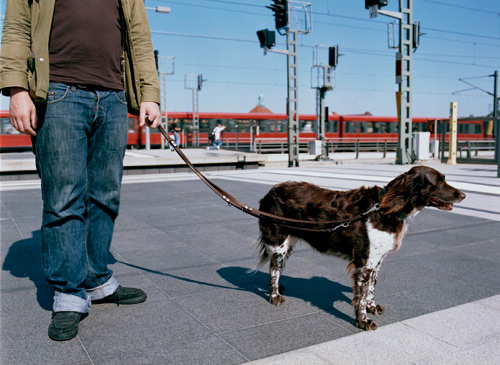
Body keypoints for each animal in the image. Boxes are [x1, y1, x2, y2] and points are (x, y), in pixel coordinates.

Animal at [258, 166, 464, 330]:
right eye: (439, 182)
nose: (463, 195)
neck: (385, 209)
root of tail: (270, 192)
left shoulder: (376, 262)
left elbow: (371, 289)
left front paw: (372, 308)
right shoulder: (364, 264)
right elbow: (361, 297)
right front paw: (363, 321)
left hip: (288, 245)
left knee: (276, 268)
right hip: (278, 244)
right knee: (274, 269)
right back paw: (274, 295)